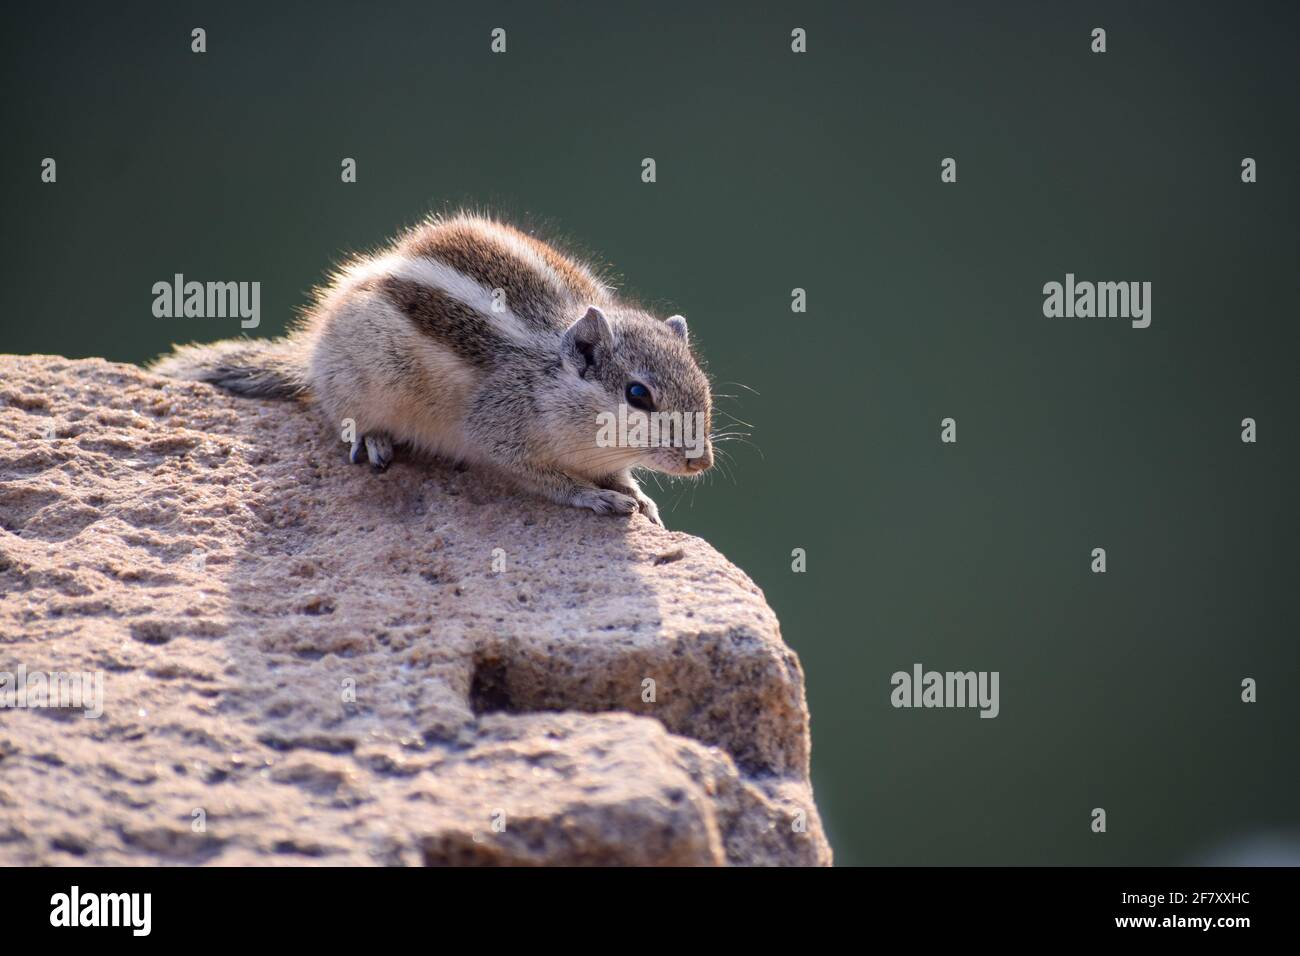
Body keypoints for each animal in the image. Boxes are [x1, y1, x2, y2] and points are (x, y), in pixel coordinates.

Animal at [153, 214, 722, 528]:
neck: (549, 375)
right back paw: (373, 438)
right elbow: (543, 478)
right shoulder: (499, 431)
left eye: (703, 385)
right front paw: (595, 496)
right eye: (638, 394)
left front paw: (639, 495)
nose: (701, 462)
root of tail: (314, 352)